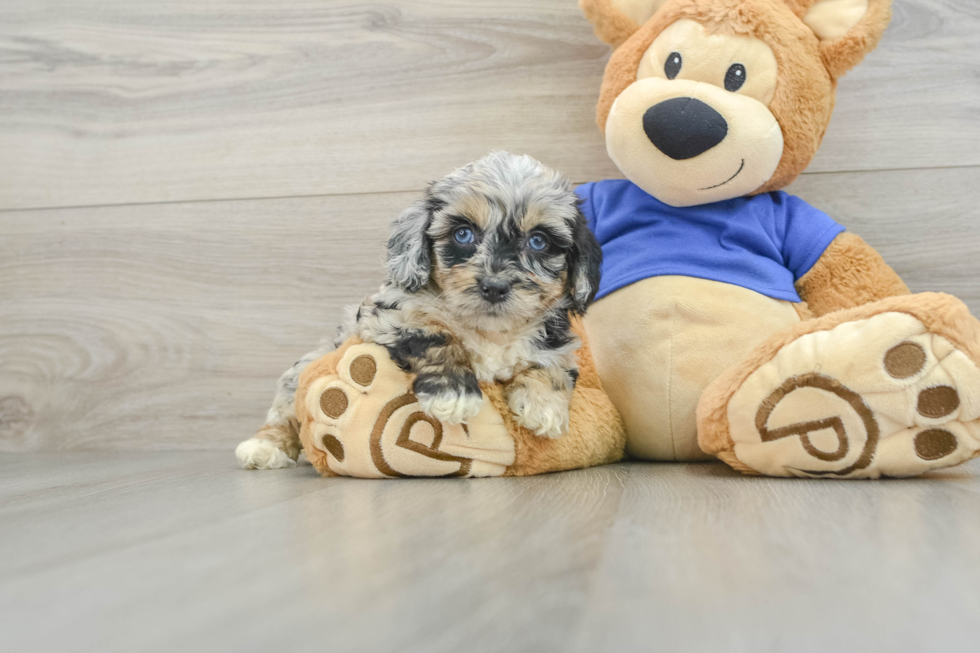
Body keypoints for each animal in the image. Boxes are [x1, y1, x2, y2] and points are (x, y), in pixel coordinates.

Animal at [239, 153, 604, 468]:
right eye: (463, 233)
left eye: (539, 241)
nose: (495, 286)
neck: (489, 329)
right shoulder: (387, 315)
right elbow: (437, 336)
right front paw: (454, 394)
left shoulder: (557, 343)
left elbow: (552, 367)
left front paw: (544, 408)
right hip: (301, 375)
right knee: (284, 415)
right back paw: (264, 447)